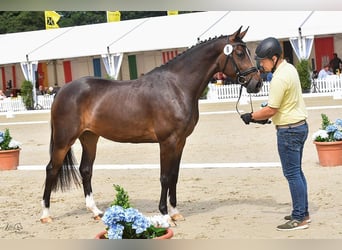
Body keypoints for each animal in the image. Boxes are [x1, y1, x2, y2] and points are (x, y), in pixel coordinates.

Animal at [40, 26, 262, 223]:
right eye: (240, 53)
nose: (257, 83)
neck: (177, 86)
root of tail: (63, 90)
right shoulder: (167, 141)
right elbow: (165, 177)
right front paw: (164, 214)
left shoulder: (180, 141)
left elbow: (174, 176)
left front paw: (175, 212)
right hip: (64, 140)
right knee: (52, 169)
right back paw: (46, 215)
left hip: (89, 137)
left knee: (86, 170)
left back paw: (95, 211)